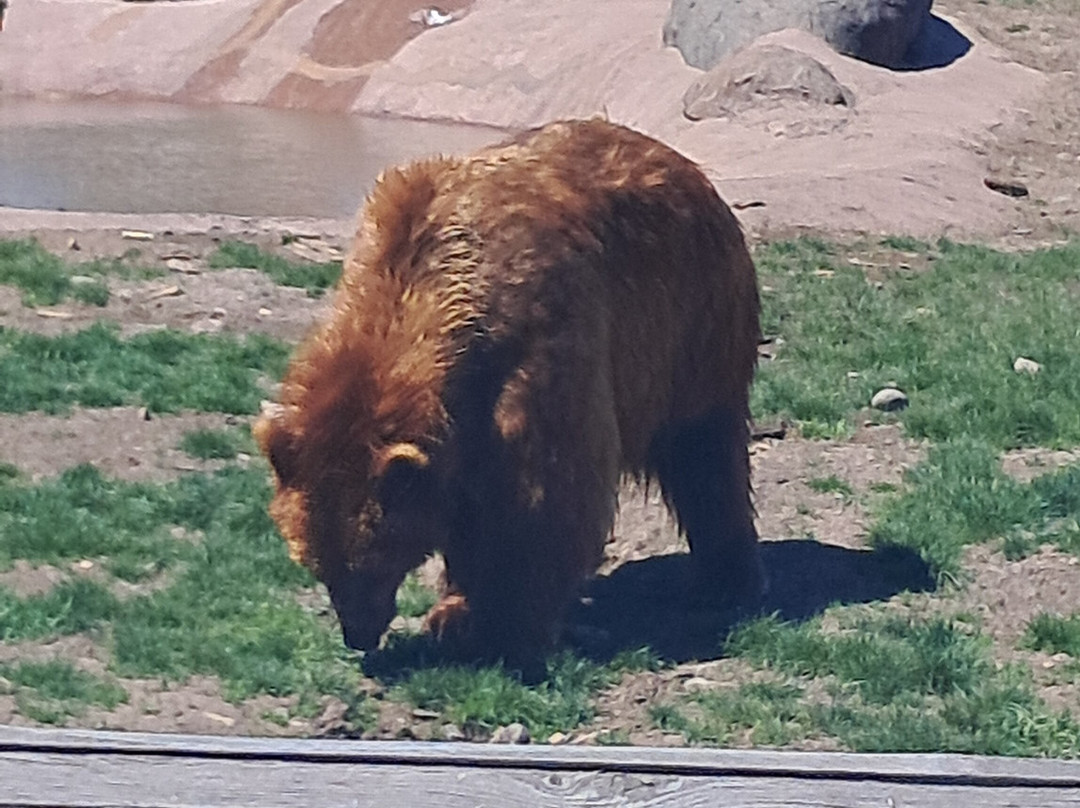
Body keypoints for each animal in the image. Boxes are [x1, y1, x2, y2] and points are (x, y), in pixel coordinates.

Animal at [254, 118, 764, 671]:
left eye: (372, 560)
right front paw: (454, 612)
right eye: (316, 564)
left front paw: (506, 628)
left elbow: (542, 503)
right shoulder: (460, 428)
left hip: (692, 324)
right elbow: (463, 506)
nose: (359, 636)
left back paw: (724, 580)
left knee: (705, 455)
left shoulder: (541, 350)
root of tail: (679, 161)